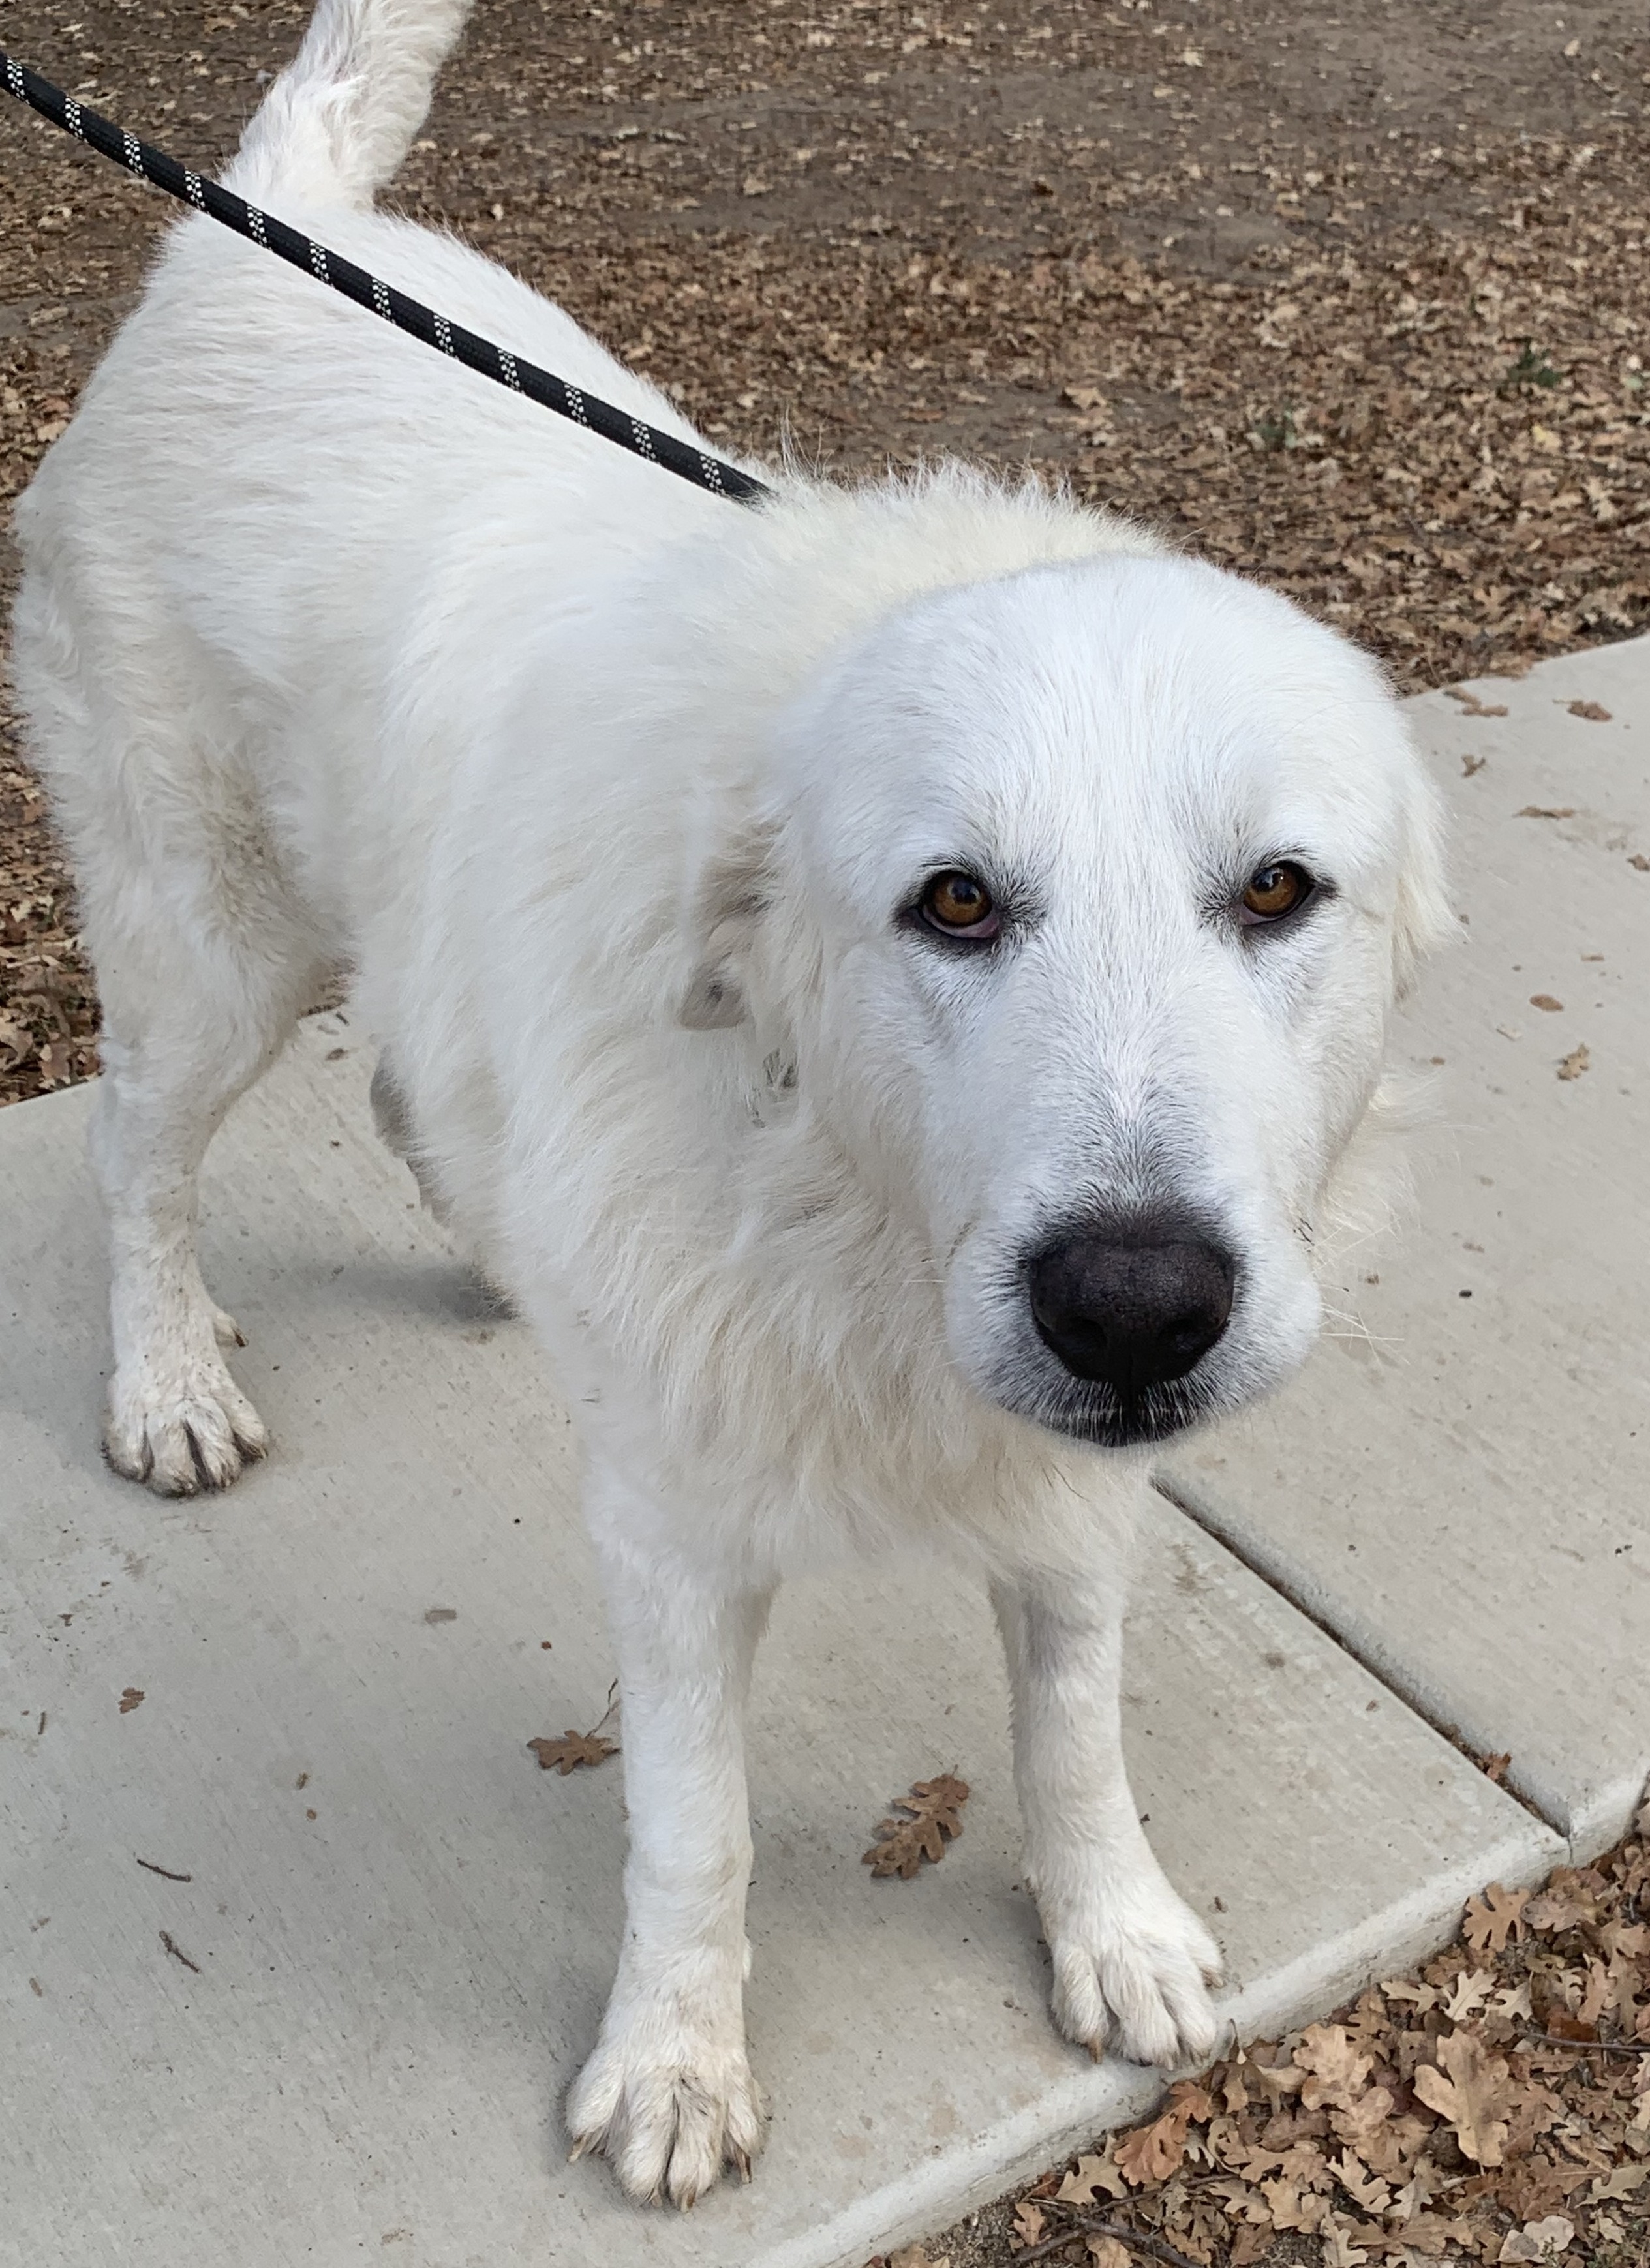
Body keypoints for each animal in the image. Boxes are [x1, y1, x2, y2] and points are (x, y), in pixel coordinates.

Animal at [16, 0, 1443, 2204]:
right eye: (955, 902)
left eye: (1277, 892)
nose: (1132, 1306)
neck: (841, 1204)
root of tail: (263, 225)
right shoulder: (675, 1530)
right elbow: (695, 1824)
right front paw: (677, 2057)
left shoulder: (1071, 1495)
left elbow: (1075, 1723)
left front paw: (1112, 1926)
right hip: (213, 947)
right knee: (136, 1150)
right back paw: (163, 1378)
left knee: (412, 1083)